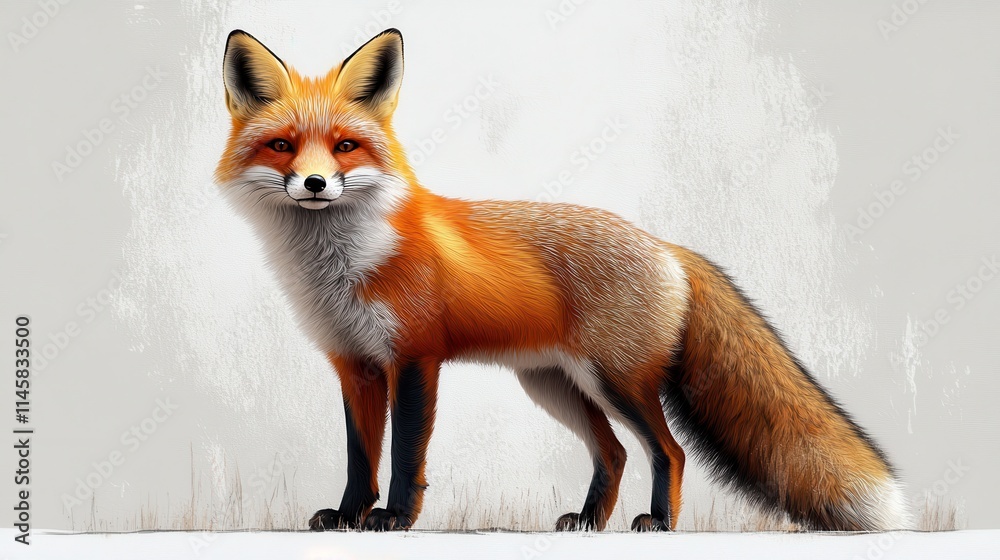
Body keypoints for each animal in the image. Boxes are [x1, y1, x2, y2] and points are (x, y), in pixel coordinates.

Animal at [215, 28, 909, 533]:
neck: (345, 263)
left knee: (669, 451)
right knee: (617, 453)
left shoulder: (414, 357)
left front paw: (393, 520)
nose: (314, 183)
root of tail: (667, 246)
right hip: (555, 386)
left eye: (344, 147)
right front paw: (348, 516)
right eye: (282, 146)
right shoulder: (354, 364)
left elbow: (407, 453)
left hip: (617, 379)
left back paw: (658, 524)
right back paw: (589, 522)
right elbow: (362, 456)